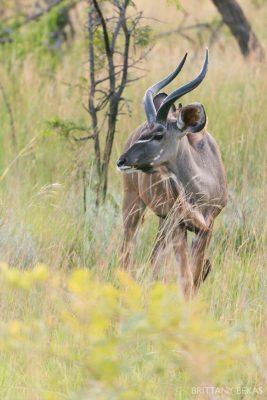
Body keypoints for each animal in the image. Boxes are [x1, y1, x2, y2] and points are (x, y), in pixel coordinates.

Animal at [117, 50, 228, 298]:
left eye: (158, 134)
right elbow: (186, 277)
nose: (122, 160)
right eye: (146, 132)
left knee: (154, 258)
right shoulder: (179, 224)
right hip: (133, 203)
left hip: (161, 220)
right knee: (126, 254)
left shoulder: (207, 226)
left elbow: (194, 276)